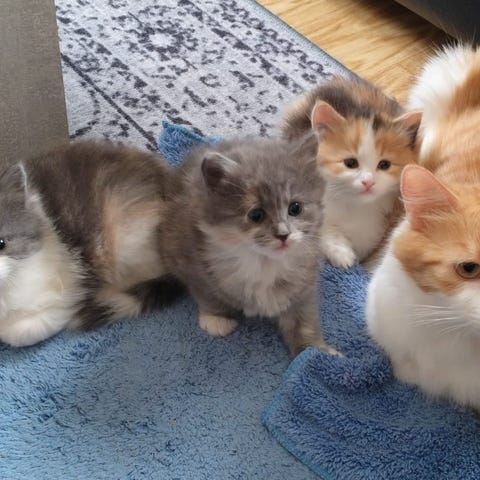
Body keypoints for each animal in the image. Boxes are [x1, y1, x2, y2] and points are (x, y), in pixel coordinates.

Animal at [159, 135, 339, 357]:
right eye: (256, 215)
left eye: (295, 208)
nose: (283, 235)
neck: (264, 262)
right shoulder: (189, 257)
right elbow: (207, 294)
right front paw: (217, 318)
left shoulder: (304, 287)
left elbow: (304, 322)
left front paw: (316, 352)